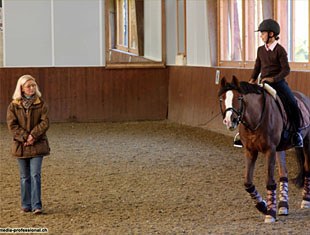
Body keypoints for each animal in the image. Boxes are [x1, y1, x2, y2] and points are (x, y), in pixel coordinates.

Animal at [218, 75, 310, 222]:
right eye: (222, 99)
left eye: (239, 98)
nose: (229, 121)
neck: (255, 120)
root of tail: (304, 97)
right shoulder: (250, 151)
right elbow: (248, 183)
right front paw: (262, 206)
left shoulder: (270, 150)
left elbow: (270, 181)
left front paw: (270, 213)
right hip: (280, 149)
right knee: (283, 174)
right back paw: (283, 206)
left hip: (306, 142)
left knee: (307, 169)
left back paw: (305, 201)